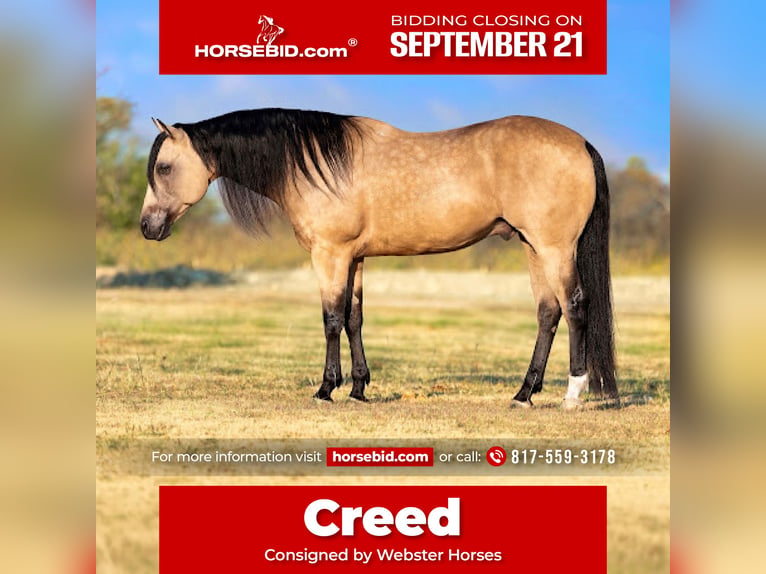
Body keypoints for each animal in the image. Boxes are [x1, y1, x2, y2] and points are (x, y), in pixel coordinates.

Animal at [141, 108, 617, 408]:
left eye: (163, 167)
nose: (147, 226)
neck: (318, 165)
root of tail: (580, 143)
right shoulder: (355, 257)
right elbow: (354, 317)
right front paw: (358, 389)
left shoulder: (330, 254)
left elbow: (331, 318)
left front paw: (326, 389)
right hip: (532, 246)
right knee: (548, 312)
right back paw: (523, 394)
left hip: (554, 248)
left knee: (575, 306)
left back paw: (572, 394)